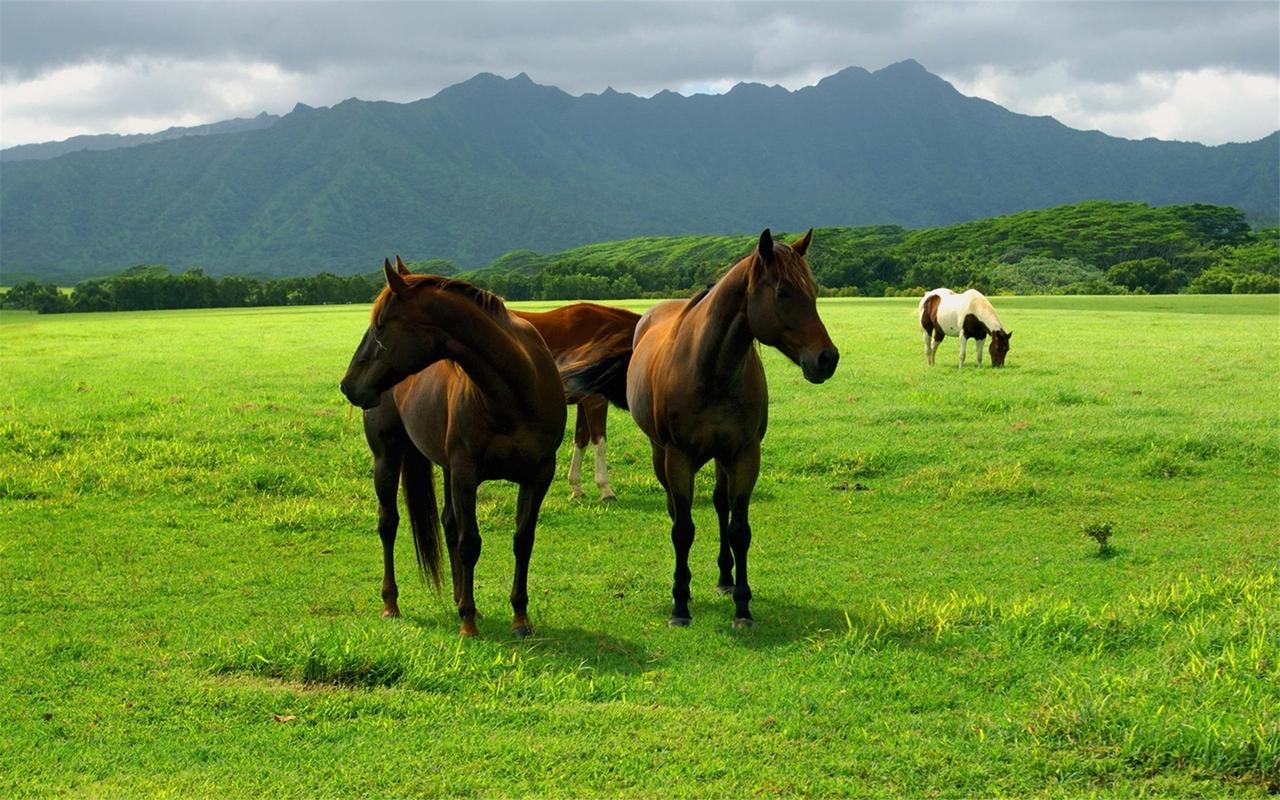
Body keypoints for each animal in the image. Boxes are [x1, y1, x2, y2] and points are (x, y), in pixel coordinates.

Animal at [340, 258, 565, 640]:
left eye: (381, 326)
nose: (348, 385)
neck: (515, 391)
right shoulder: (466, 474)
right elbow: (469, 542)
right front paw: (468, 623)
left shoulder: (538, 475)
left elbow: (522, 540)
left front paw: (520, 617)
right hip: (388, 459)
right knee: (389, 523)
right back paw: (392, 603)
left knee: (447, 523)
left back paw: (461, 596)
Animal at [509, 304, 640, 499]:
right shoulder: (596, 401)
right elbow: (599, 442)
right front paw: (605, 489)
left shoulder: (583, 402)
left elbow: (581, 440)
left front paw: (576, 486)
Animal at [565, 227, 834, 627]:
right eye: (783, 292)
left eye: (814, 291)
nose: (827, 358)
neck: (712, 370)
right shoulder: (678, 457)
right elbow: (683, 529)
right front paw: (680, 604)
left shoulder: (744, 454)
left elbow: (739, 529)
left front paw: (742, 604)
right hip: (661, 454)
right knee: (676, 511)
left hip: (722, 458)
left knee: (721, 506)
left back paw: (724, 578)